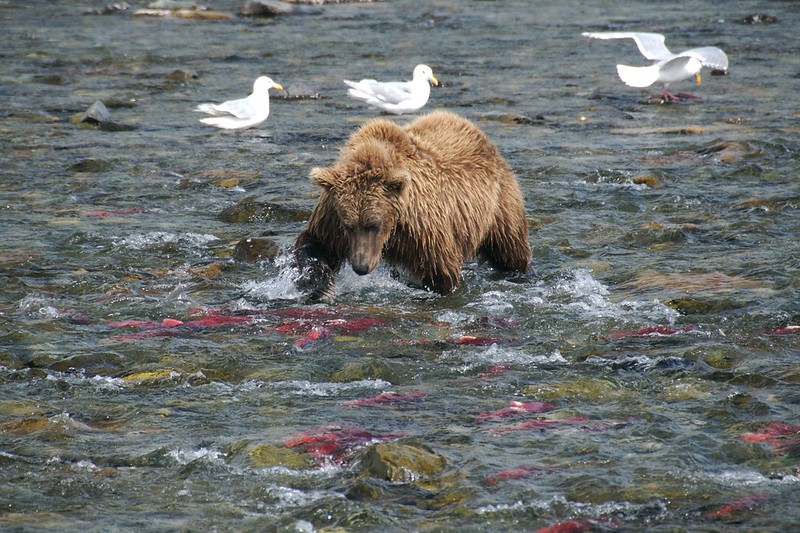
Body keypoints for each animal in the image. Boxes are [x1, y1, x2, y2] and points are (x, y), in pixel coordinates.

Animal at [294, 110, 531, 299]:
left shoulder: (424, 228)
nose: (361, 266)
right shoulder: (331, 216)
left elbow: (440, 270)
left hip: (500, 204)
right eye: (348, 225)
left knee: (510, 246)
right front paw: (318, 285)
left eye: (374, 224)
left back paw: (521, 272)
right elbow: (316, 244)